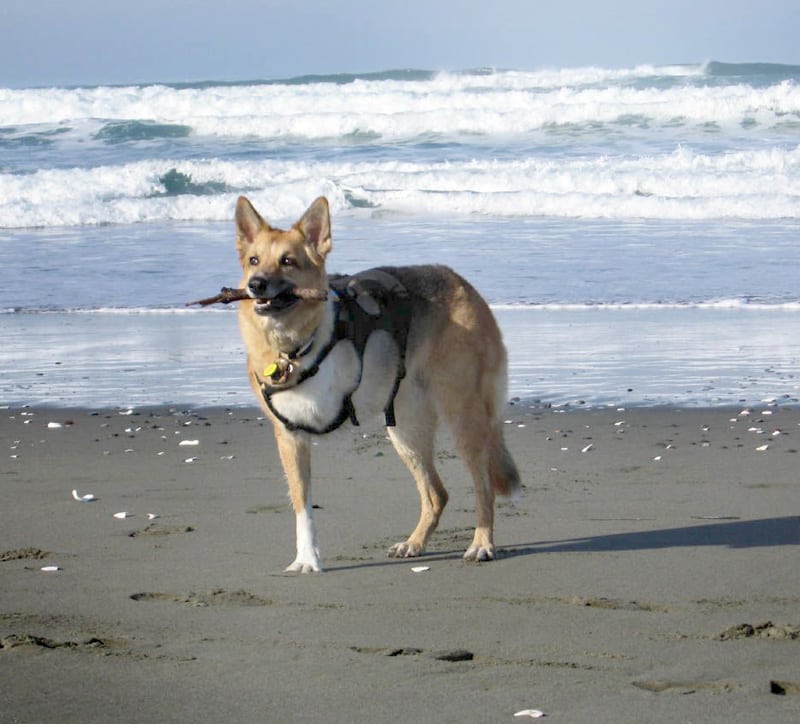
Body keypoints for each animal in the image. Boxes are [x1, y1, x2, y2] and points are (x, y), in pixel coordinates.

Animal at [233, 197, 520, 572]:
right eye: (254, 260)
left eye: (287, 261)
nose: (256, 284)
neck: (293, 343)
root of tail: (459, 281)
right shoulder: (290, 437)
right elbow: (302, 507)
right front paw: (307, 559)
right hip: (405, 430)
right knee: (436, 494)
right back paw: (414, 543)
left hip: (463, 419)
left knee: (483, 486)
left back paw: (482, 544)